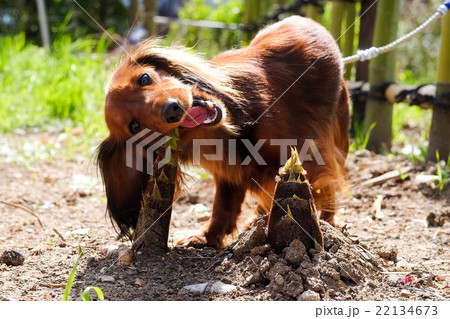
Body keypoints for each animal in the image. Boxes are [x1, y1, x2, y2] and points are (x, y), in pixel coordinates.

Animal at [98, 15, 352, 248]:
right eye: (134, 126)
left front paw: (317, 227)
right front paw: (207, 237)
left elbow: (311, 189)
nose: (172, 109)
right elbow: (223, 207)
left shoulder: (304, 155)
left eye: (144, 78)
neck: (225, 132)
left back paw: (330, 219)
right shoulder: (230, 176)